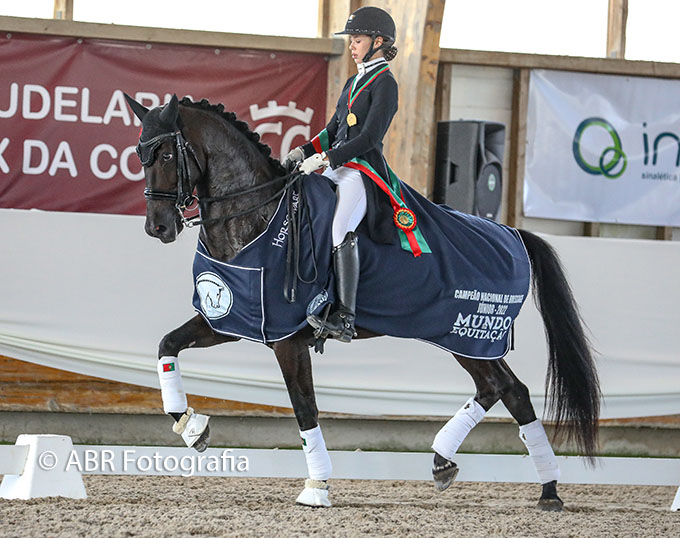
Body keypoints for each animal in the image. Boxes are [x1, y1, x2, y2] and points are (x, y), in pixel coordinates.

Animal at [125, 94, 596, 508]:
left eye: (164, 156)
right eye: (140, 155)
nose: (157, 227)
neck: (257, 213)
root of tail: (513, 234)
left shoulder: (286, 338)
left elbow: (305, 407)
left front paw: (317, 487)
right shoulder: (233, 318)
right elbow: (167, 346)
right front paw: (191, 427)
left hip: (469, 334)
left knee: (500, 388)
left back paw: (484, 469)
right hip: (472, 339)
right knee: (510, 391)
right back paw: (527, 485)